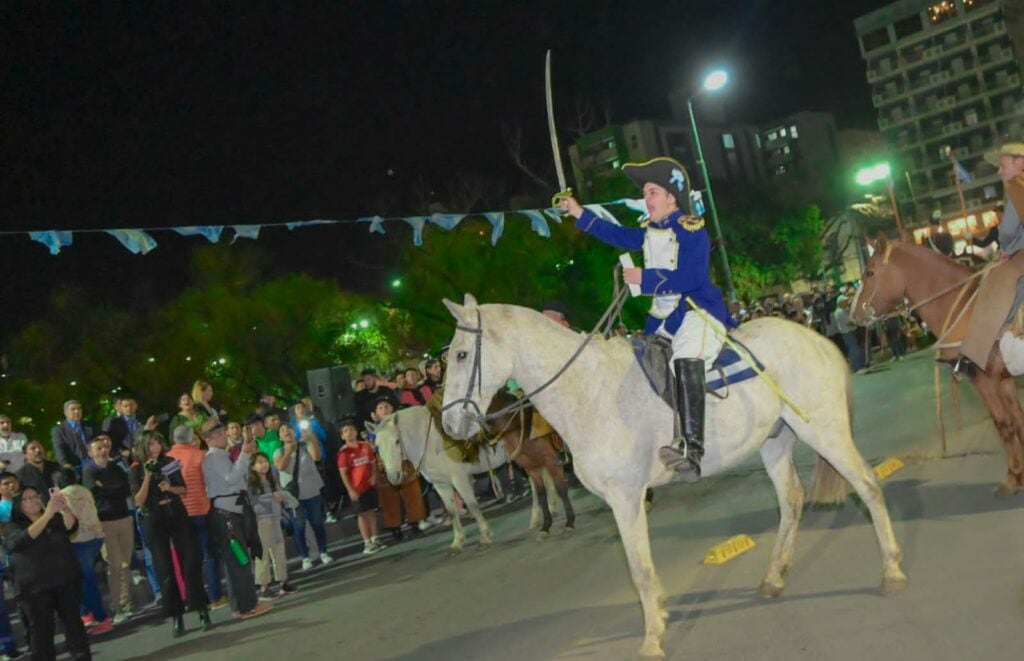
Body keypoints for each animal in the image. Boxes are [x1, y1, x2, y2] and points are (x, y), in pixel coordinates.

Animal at [370, 409, 509, 552]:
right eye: (376, 447)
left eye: (397, 441)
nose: (394, 476)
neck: (431, 441)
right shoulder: (441, 484)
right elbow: (452, 511)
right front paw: (458, 542)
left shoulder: (460, 478)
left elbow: (472, 505)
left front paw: (485, 536)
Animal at [481, 390, 577, 536]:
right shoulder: (531, 467)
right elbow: (541, 493)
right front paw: (545, 526)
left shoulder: (551, 461)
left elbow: (561, 488)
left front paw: (569, 523)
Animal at [847, 234, 1024, 497]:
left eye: (869, 272)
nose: (853, 315)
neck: (963, 307)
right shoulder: (1004, 379)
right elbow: (1018, 420)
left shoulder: (984, 380)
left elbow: (1004, 425)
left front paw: (1013, 477)